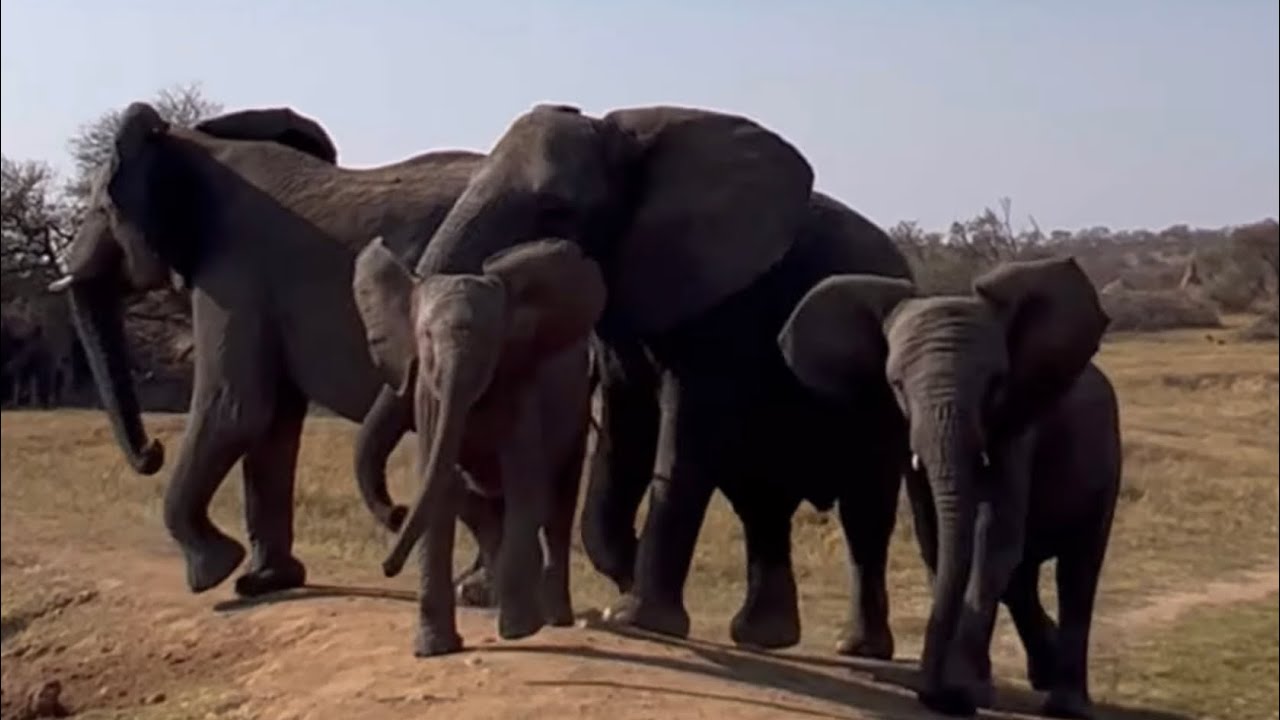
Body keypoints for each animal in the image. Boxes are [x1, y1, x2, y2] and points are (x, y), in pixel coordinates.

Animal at [48, 100, 497, 598]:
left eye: (102, 209)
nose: (153, 450)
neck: (193, 142)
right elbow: (274, 422)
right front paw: (265, 582)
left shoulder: (234, 273)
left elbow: (236, 408)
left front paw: (213, 573)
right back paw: (478, 589)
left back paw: (479, 593)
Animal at [353, 236, 605, 655]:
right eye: (425, 337)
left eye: (491, 341)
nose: (387, 567)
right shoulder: (428, 396)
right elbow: (440, 490)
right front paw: (433, 649)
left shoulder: (521, 389)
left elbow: (526, 492)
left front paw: (520, 631)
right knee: (482, 509)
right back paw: (487, 594)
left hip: (578, 414)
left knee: (558, 509)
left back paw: (552, 617)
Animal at [398, 102, 914, 655]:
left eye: (556, 211)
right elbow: (626, 425)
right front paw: (623, 595)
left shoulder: (727, 301)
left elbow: (684, 431)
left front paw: (635, 616)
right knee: (762, 503)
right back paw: (763, 637)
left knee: (864, 511)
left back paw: (856, 648)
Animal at [777, 257, 1120, 719]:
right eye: (897, 385)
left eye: (996, 382)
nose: (926, 688)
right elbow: (937, 538)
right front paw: (955, 692)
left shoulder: (1018, 429)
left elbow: (991, 538)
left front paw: (957, 693)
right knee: (1022, 578)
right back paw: (1041, 674)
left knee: (1077, 570)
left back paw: (1066, 705)